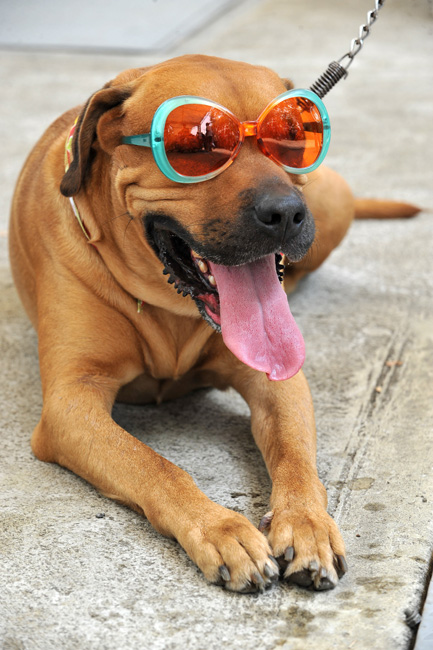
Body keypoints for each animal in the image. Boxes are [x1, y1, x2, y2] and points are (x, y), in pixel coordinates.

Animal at [9, 55, 418, 593]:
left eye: (293, 134)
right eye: (195, 146)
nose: (286, 212)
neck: (168, 307)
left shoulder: (279, 380)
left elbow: (296, 457)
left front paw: (307, 524)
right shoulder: (71, 403)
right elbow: (155, 466)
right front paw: (222, 529)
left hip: (333, 201)